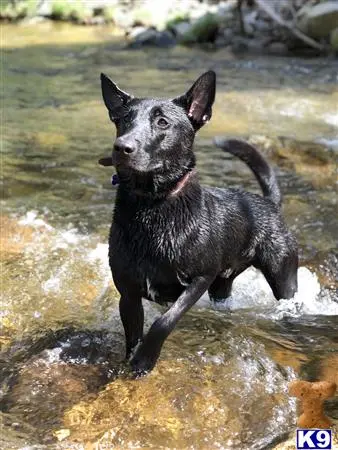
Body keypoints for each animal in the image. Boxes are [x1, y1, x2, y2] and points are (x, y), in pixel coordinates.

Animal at [99, 70, 298, 374]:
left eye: (162, 122)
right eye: (122, 120)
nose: (122, 147)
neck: (152, 207)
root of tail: (268, 203)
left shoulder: (200, 279)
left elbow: (164, 321)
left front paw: (145, 360)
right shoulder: (128, 292)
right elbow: (133, 333)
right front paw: (130, 361)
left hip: (283, 276)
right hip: (222, 286)